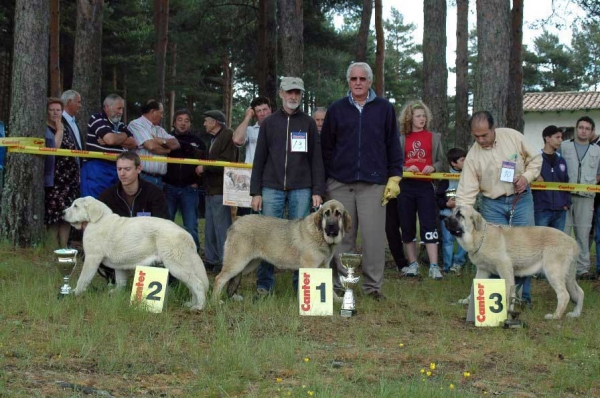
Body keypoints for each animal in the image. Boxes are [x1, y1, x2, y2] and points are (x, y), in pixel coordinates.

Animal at [63, 197, 209, 310]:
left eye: (75, 206)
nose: (62, 212)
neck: (97, 220)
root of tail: (187, 235)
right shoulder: (119, 264)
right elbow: (120, 281)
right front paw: (116, 293)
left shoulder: (92, 258)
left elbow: (83, 278)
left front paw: (75, 292)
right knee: (193, 285)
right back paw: (192, 303)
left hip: (176, 265)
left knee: (198, 284)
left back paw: (199, 306)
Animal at [212, 201, 350, 300]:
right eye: (326, 213)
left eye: (338, 213)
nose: (331, 226)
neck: (320, 234)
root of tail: (236, 222)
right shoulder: (310, 267)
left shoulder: (325, 266)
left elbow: (329, 286)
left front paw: (336, 300)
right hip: (238, 263)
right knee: (219, 279)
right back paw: (216, 301)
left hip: (248, 264)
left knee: (232, 278)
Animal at [448, 207, 584, 318]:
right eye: (453, 212)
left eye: (460, 215)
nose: (444, 219)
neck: (481, 235)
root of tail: (572, 241)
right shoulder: (483, 270)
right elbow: (473, 287)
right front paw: (467, 301)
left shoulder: (504, 267)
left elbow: (509, 290)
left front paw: (506, 312)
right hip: (568, 276)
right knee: (580, 292)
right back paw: (576, 313)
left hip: (553, 272)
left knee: (564, 295)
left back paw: (555, 316)